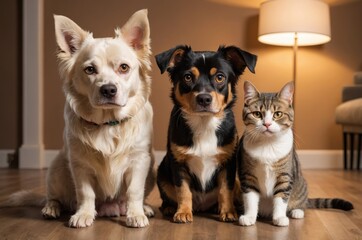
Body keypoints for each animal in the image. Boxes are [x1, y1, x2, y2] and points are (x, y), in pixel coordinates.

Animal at [154, 45, 256, 223]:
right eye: (188, 77)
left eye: (220, 77)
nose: (204, 98)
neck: (204, 123)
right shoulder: (177, 163)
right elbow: (183, 190)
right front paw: (183, 212)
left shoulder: (228, 163)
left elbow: (225, 190)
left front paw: (228, 211)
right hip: (162, 173)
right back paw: (169, 207)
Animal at [236, 81, 352, 227]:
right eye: (257, 114)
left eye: (278, 114)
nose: (267, 124)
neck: (267, 144)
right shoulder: (248, 175)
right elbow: (250, 198)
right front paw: (249, 217)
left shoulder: (285, 176)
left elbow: (281, 197)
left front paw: (280, 217)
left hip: (301, 186)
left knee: (302, 204)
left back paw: (297, 211)